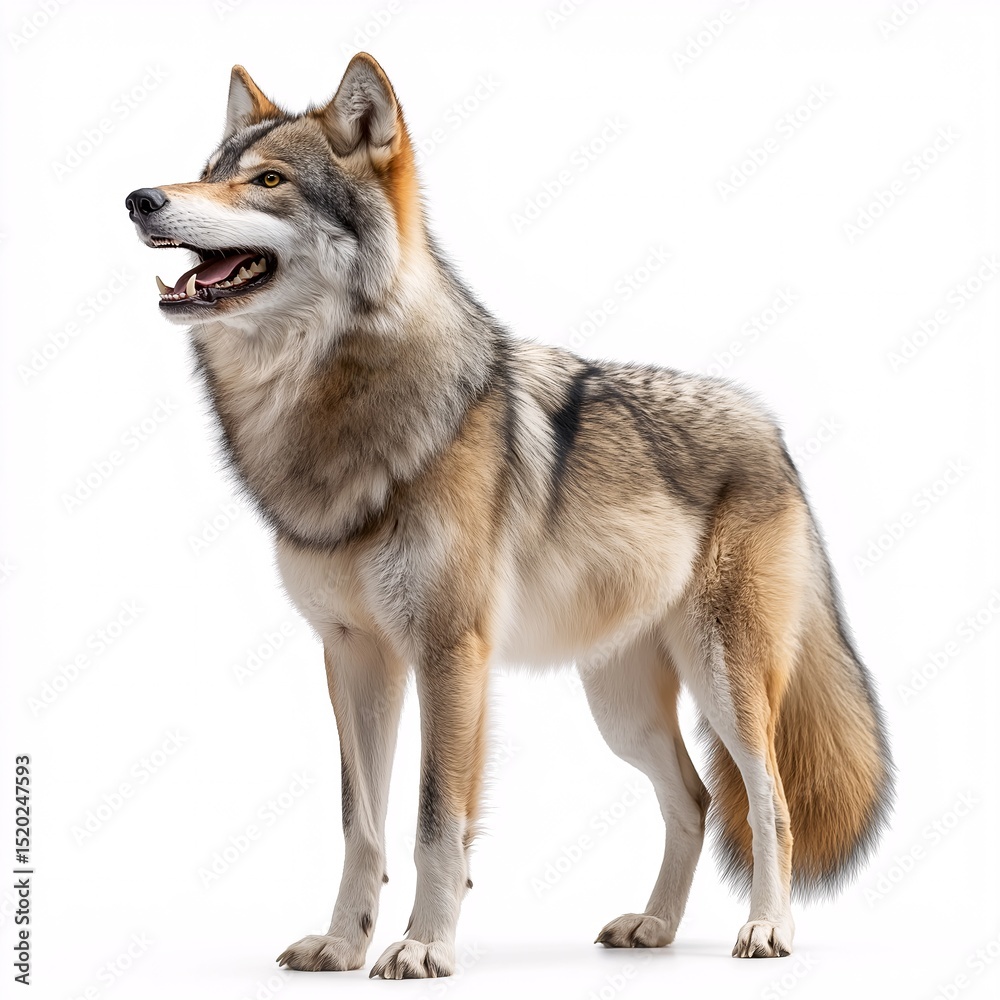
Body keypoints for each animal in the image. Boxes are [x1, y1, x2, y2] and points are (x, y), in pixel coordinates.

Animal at [125, 53, 894, 978]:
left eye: (267, 181)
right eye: (208, 171)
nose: (139, 199)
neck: (335, 411)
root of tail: (771, 427)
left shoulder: (449, 654)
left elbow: (433, 823)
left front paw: (424, 945)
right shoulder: (354, 657)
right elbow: (360, 824)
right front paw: (344, 944)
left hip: (724, 683)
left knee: (768, 797)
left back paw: (768, 930)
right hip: (621, 710)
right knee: (695, 797)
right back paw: (654, 928)